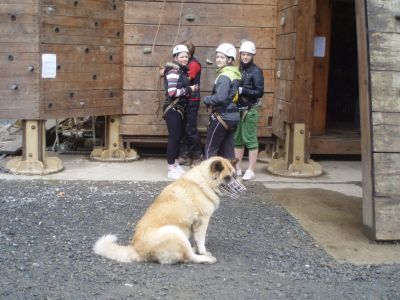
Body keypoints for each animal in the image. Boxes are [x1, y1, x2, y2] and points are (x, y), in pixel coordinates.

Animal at [94, 156, 244, 264]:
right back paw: (206, 258)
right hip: (175, 232)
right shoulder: (203, 221)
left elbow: (196, 239)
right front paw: (203, 251)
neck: (204, 181)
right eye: (227, 178)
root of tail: (136, 250)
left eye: (235, 176)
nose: (242, 190)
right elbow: (201, 240)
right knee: (189, 257)